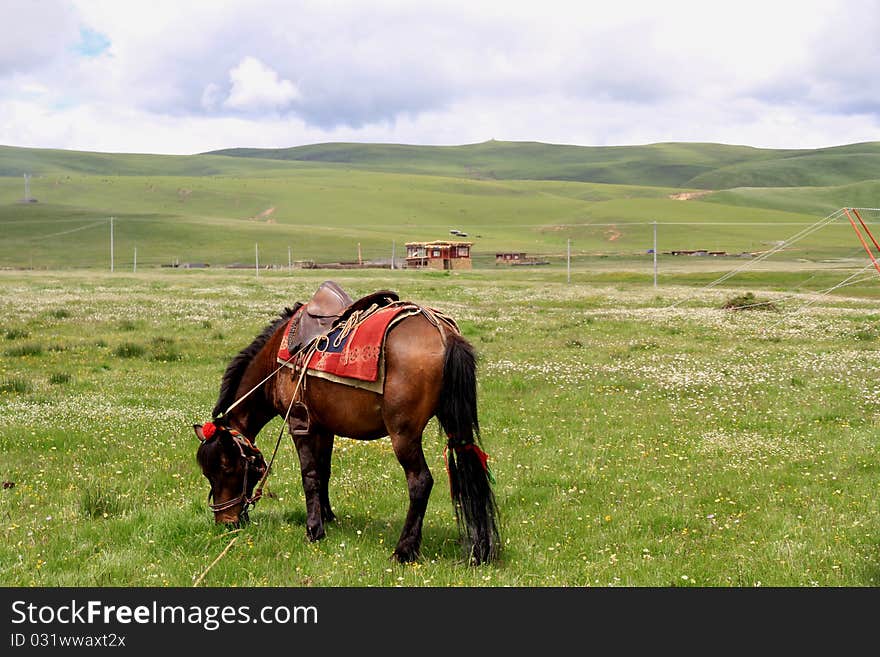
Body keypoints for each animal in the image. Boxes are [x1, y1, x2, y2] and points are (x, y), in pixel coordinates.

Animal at [193, 282, 498, 564]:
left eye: (225, 467)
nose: (226, 522)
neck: (275, 363)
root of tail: (443, 334)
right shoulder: (324, 427)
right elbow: (323, 471)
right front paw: (327, 516)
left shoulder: (300, 425)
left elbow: (309, 476)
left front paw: (314, 530)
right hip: (454, 425)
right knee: (469, 464)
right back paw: (480, 548)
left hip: (404, 434)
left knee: (420, 482)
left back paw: (404, 550)